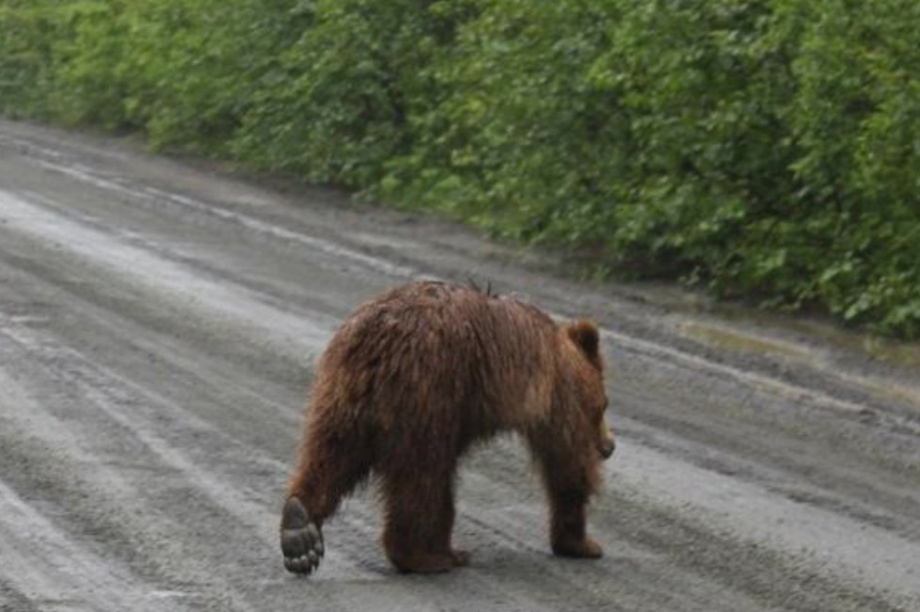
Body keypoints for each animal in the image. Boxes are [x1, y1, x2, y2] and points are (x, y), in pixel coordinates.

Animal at [280, 280, 615, 575]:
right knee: (422, 475)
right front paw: (582, 543)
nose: (609, 446)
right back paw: (423, 557)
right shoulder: (557, 396)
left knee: (332, 453)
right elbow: (569, 461)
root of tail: (377, 339)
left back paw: (299, 530)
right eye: (604, 405)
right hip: (429, 391)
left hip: (342, 396)